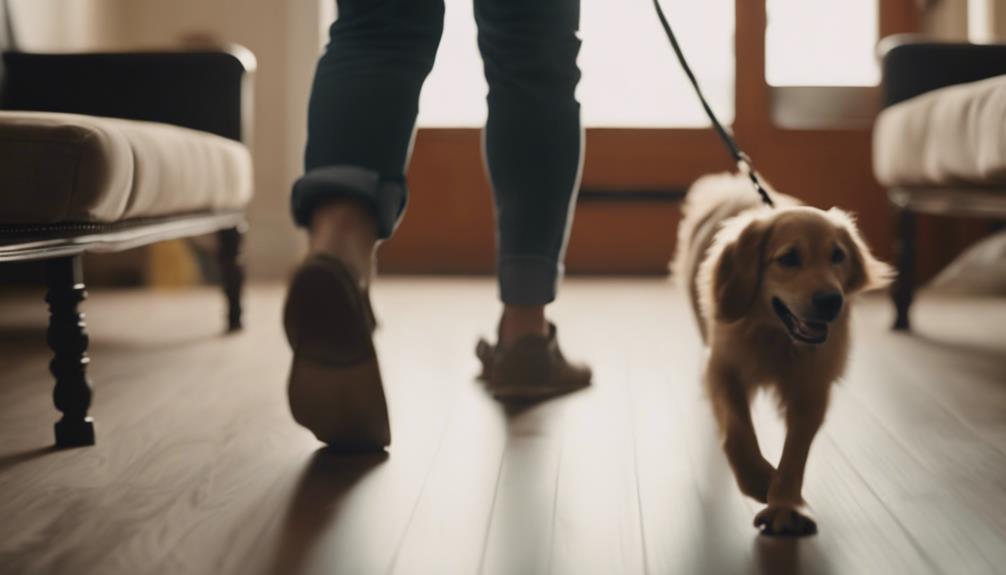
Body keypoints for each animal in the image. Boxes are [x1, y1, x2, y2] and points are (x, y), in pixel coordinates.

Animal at [672, 172, 893, 538]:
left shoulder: (813, 384)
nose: (831, 302)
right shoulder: (723, 366)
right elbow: (737, 430)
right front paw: (757, 478)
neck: (775, 335)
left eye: (838, 256)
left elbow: (796, 450)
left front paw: (785, 504)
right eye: (788, 258)